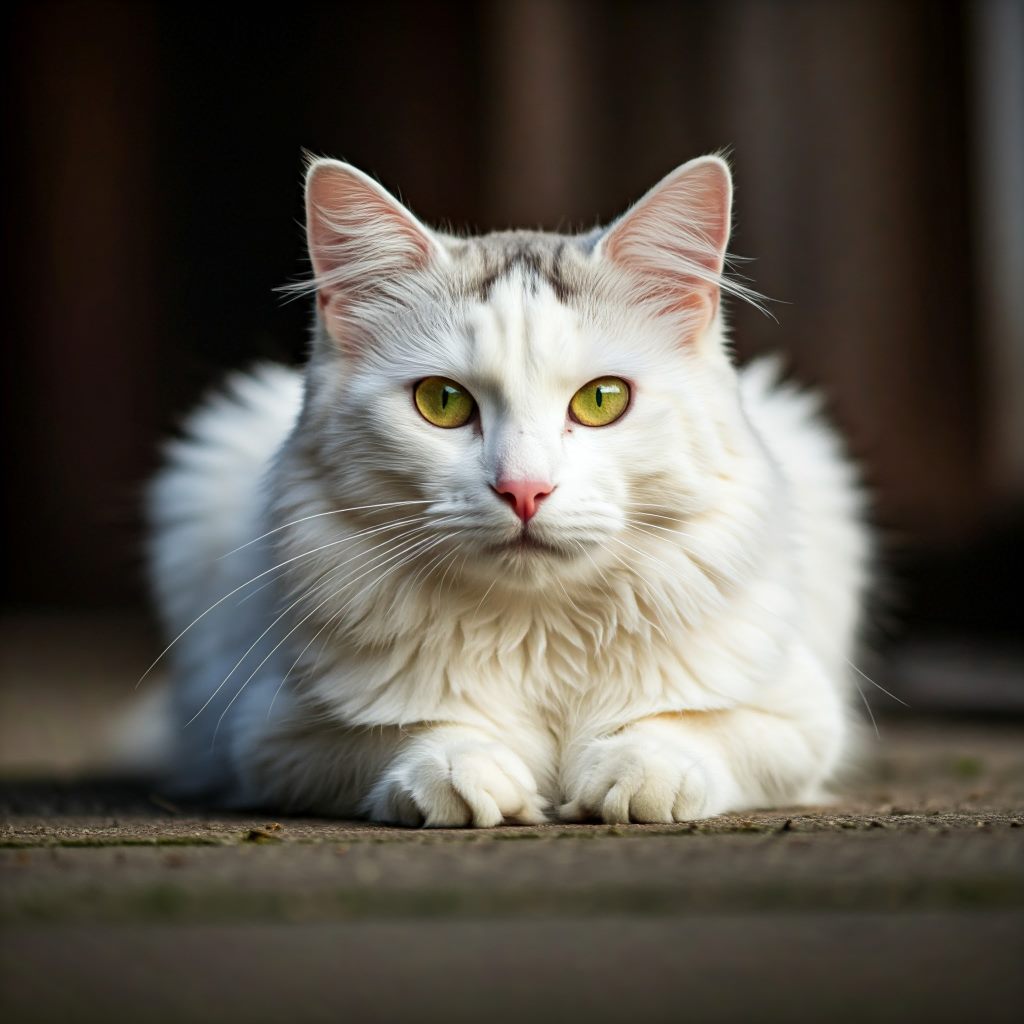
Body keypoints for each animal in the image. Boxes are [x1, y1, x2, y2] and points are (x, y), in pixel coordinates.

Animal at [148, 155, 872, 827]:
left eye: (603, 400)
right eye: (441, 403)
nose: (525, 490)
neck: (537, 632)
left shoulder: (800, 718)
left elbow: (686, 727)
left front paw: (637, 775)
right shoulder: (269, 734)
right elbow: (415, 731)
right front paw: (463, 775)